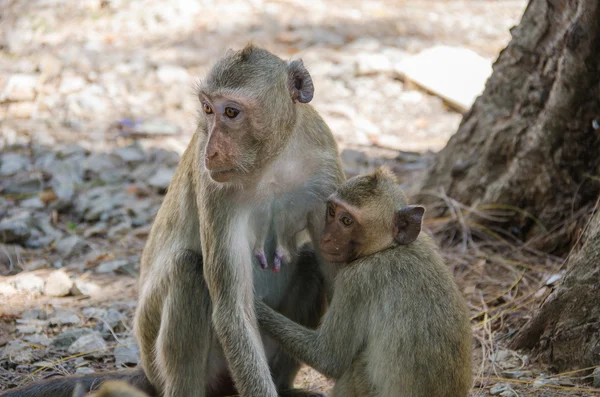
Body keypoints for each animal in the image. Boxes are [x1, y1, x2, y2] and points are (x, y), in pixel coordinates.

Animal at [255, 167, 472, 396]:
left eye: (347, 221)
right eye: (332, 211)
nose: (326, 237)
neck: (389, 247)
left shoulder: (357, 280)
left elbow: (328, 359)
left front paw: (254, 306)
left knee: (355, 368)